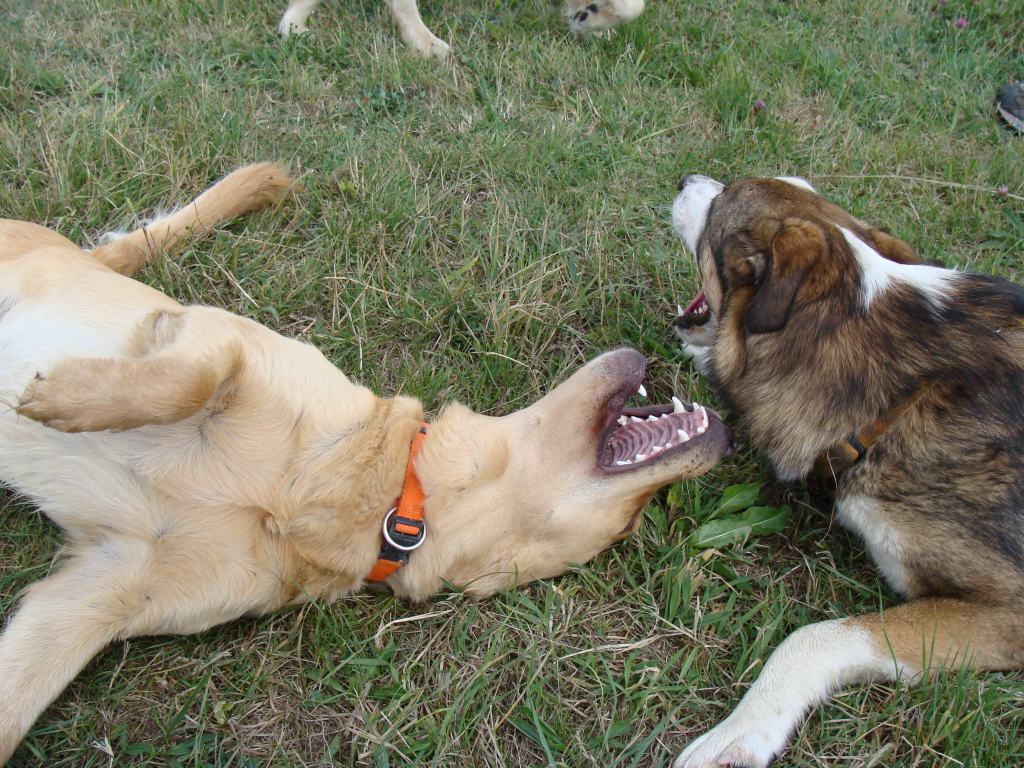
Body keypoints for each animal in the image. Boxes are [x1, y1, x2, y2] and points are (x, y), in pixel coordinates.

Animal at [0, 163, 732, 761]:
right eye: (631, 522)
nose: (724, 435)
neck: (381, 502)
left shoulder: (97, 594)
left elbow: (12, 710)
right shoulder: (219, 336)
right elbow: (184, 380)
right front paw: (66, 396)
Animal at [669, 174, 1024, 767]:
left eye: (721, 200)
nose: (686, 180)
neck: (899, 395)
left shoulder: (1010, 608)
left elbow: (812, 639)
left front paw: (738, 734)